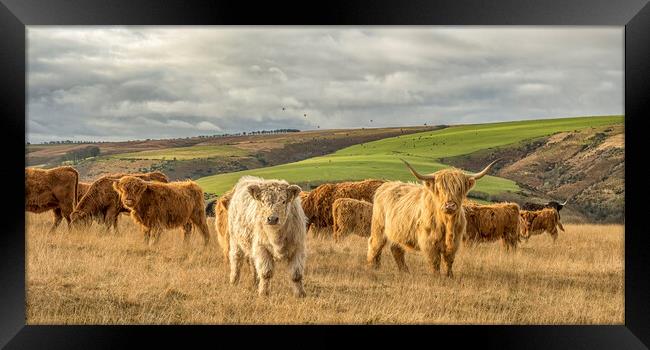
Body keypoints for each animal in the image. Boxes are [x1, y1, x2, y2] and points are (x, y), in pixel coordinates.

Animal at [368, 160, 498, 278]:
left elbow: (449, 260)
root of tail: (386, 185)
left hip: (400, 232)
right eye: (440, 188)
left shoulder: (455, 242)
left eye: (459, 188)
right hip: (379, 227)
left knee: (396, 249)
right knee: (375, 244)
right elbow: (435, 260)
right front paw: (436, 276)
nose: (450, 205)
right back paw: (373, 267)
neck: (447, 223)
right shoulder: (429, 242)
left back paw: (405, 271)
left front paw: (450, 276)